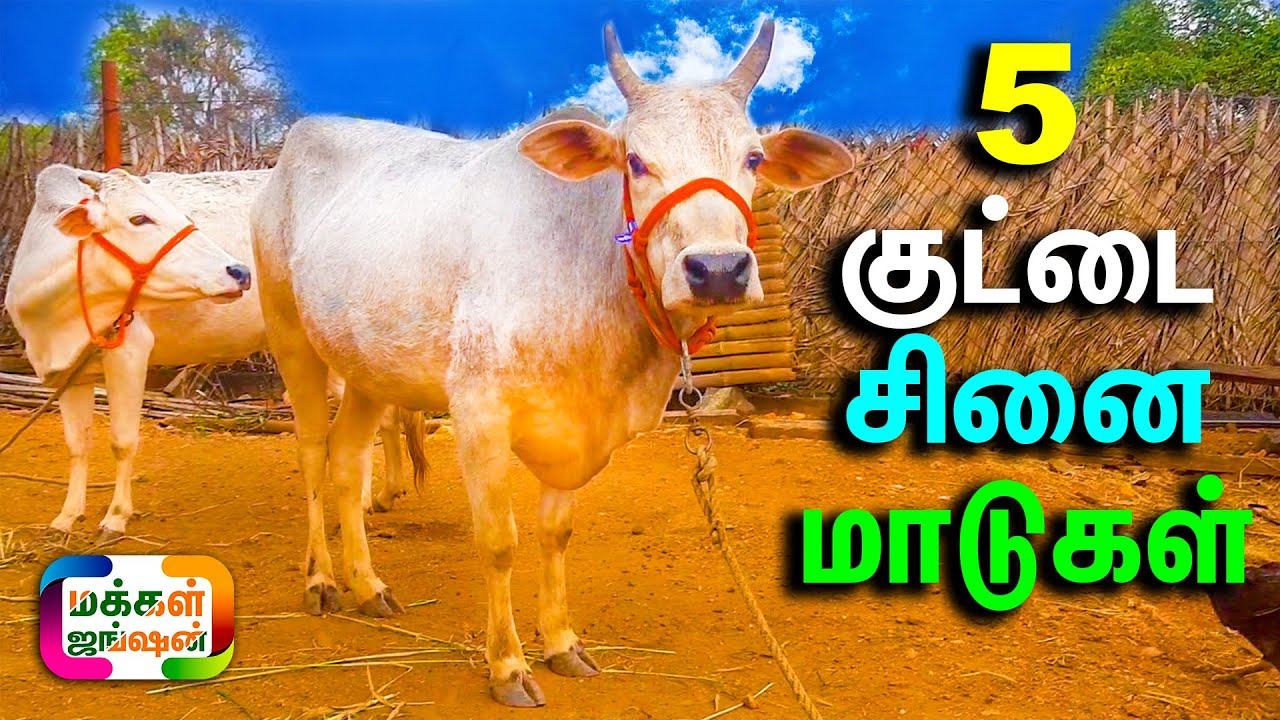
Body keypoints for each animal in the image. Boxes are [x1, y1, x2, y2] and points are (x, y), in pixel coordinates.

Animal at [4, 165, 426, 539]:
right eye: (139, 218)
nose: (239, 272)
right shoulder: (65, 372)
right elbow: (77, 445)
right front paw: (66, 518)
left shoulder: (129, 352)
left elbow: (122, 441)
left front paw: (115, 518)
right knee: (387, 417)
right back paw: (385, 494)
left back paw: (366, 499)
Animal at [250, 19, 852, 707]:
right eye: (635, 160)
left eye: (752, 158)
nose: (718, 269)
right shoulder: (480, 414)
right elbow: (499, 542)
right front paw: (508, 666)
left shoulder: (578, 431)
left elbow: (554, 533)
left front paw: (562, 643)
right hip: (291, 339)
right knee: (312, 454)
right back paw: (321, 580)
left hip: (369, 365)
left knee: (349, 460)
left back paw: (367, 584)